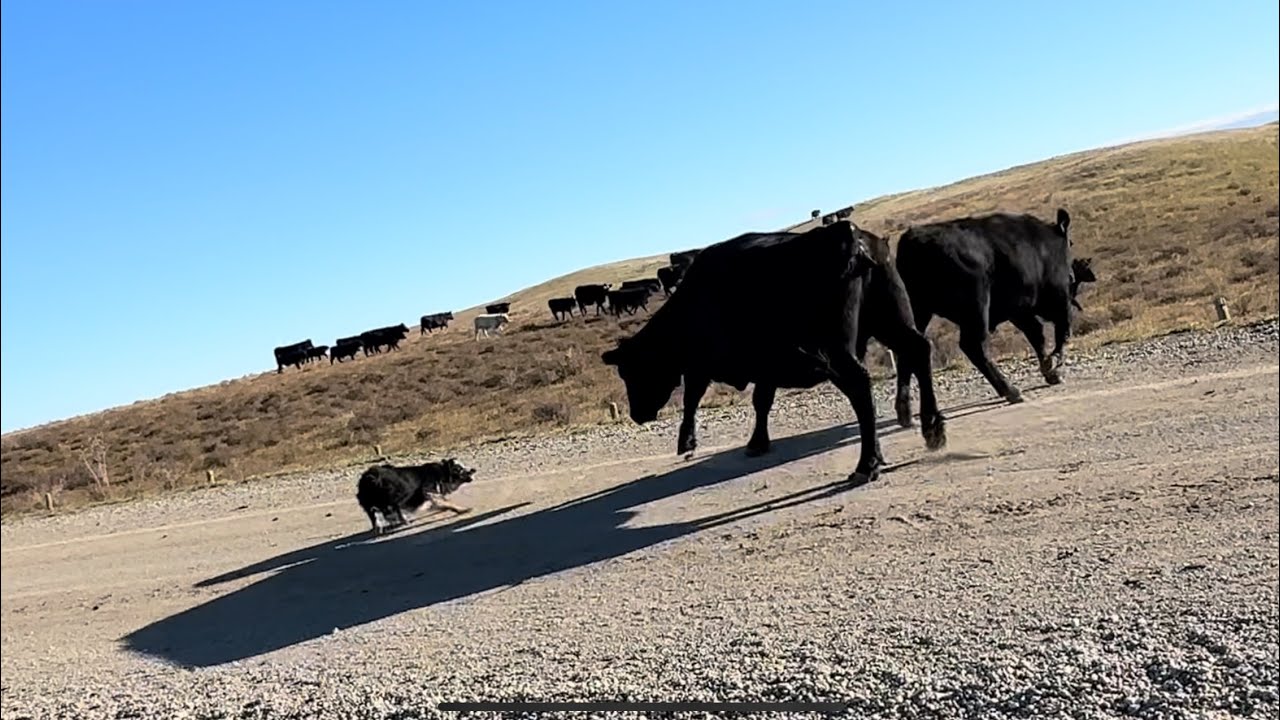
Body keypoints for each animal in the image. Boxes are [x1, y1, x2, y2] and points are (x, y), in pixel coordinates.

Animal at [601, 221, 947, 486]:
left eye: (632, 372)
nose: (637, 415)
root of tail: (850, 234)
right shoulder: (766, 365)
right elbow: (761, 401)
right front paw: (757, 442)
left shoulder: (703, 364)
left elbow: (692, 398)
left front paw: (686, 441)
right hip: (892, 321)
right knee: (918, 349)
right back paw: (932, 428)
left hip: (837, 351)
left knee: (862, 386)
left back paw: (867, 464)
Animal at [888, 208, 1082, 426]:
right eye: (1071, 277)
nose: (1072, 276)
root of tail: (913, 239)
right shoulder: (1049, 301)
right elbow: (1055, 332)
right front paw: (1054, 367)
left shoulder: (1019, 310)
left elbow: (1037, 334)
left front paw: (1050, 370)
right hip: (976, 306)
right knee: (974, 346)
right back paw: (1011, 391)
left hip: (918, 312)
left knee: (907, 349)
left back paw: (905, 413)